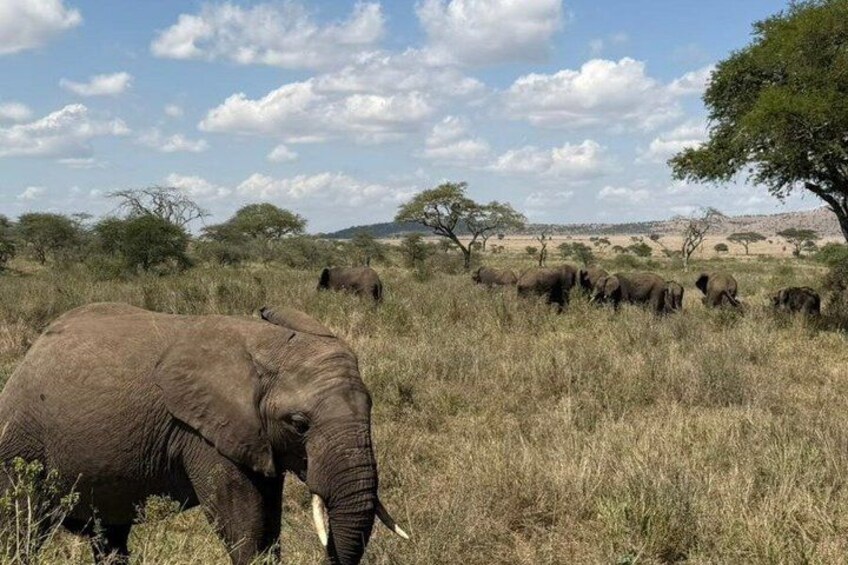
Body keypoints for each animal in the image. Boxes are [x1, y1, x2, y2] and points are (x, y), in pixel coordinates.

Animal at [0, 303, 407, 565]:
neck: (265, 343)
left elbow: (268, 514)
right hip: (20, 443)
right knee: (21, 527)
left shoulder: (254, 436)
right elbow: (241, 516)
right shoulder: (203, 433)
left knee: (110, 535)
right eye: (298, 423)